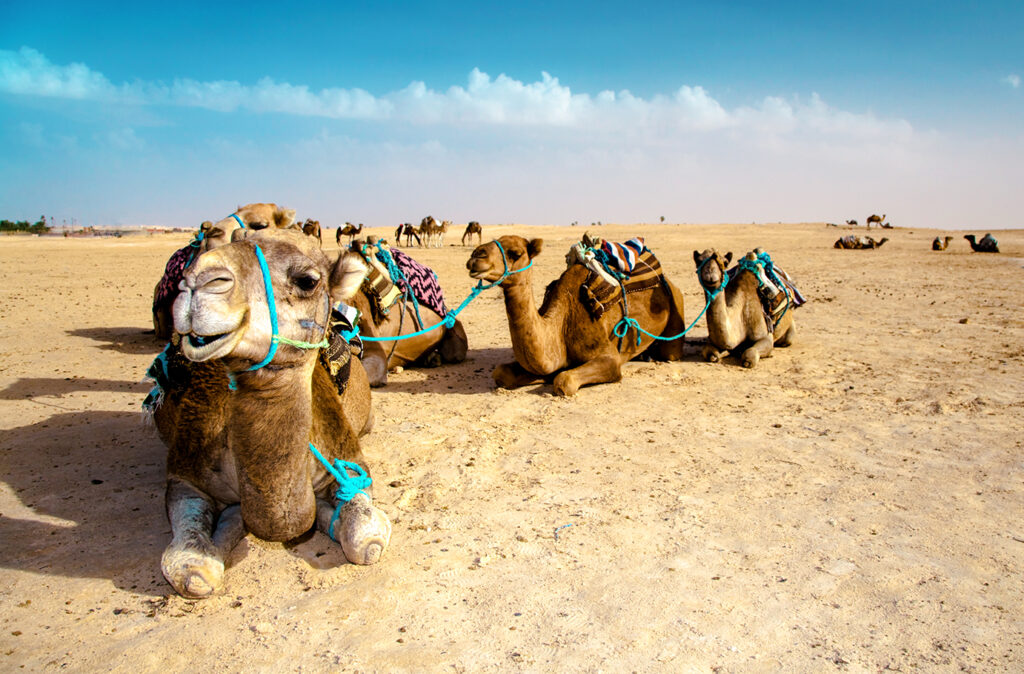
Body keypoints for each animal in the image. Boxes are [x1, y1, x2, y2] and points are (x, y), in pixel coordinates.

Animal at [151, 227, 391, 598]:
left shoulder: (348, 456)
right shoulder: (184, 473)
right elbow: (191, 568)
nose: (199, 282)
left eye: (308, 280)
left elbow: (367, 539)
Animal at [468, 234, 684, 393]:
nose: (476, 256)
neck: (560, 326)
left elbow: (563, 381)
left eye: (515, 253)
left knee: (671, 352)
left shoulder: (609, 358)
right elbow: (501, 373)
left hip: (676, 300)